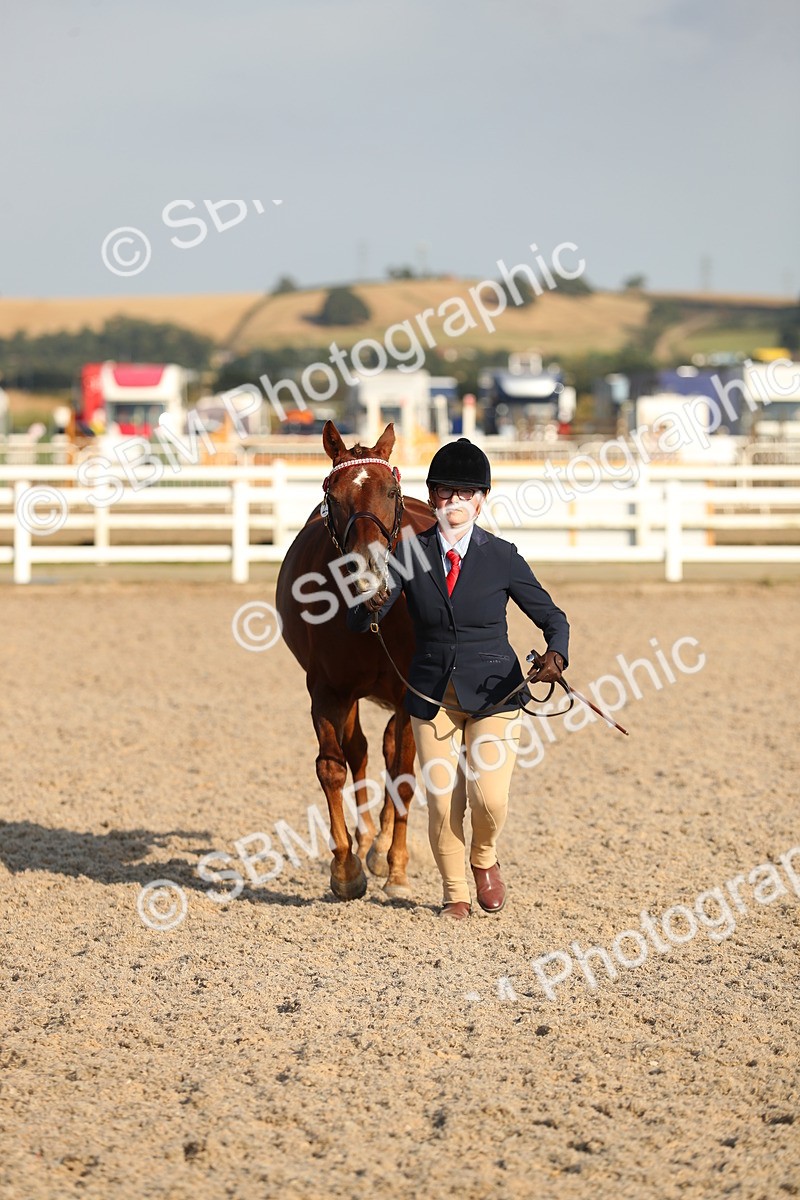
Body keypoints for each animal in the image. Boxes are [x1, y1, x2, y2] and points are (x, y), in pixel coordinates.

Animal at [275, 420, 433, 902]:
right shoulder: (328, 690)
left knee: (392, 752)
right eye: (334, 495)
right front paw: (345, 868)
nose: (368, 571)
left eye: (390, 490)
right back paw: (365, 841)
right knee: (360, 750)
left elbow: (403, 773)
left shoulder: (408, 693)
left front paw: (396, 868)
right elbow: (332, 766)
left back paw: (381, 848)